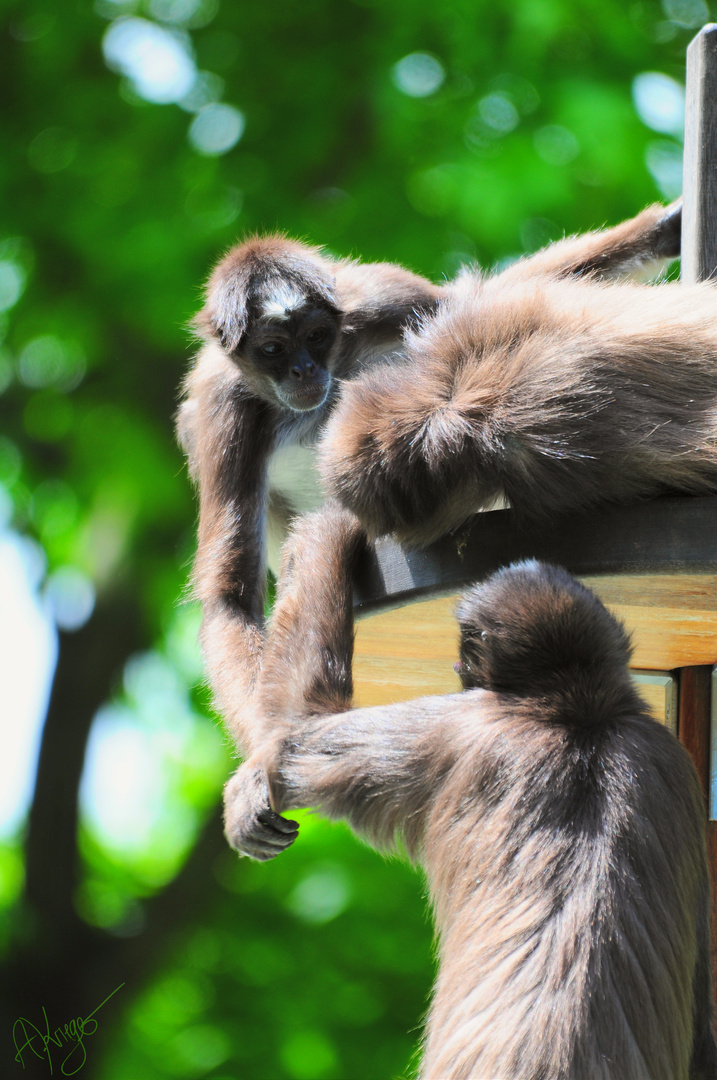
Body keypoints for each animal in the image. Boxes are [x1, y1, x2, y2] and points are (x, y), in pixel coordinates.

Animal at [176, 200, 682, 751]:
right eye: (272, 349)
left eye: (315, 336)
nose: (304, 370)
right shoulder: (225, 406)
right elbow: (230, 596)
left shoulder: (374, 303)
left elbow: (477, 305)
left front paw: (663, 228)